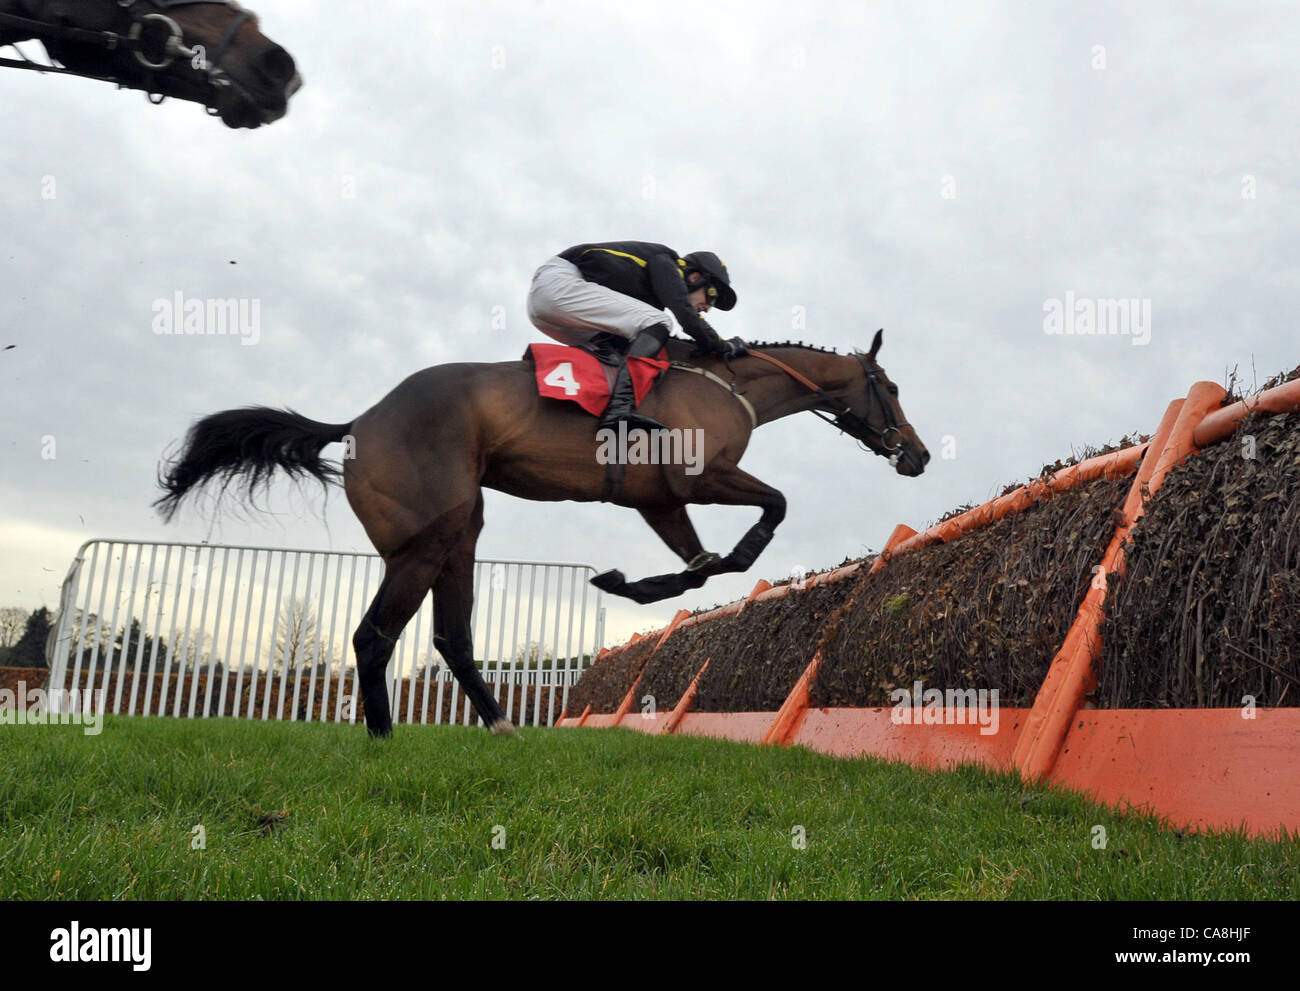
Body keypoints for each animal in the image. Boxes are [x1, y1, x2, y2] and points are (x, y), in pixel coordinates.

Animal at [154, 330, 925, 733]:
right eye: (891, 387)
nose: (918, 454)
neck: (726, 384)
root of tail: (358, 422)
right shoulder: (699, 477)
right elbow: (772, 512)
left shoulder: (658, 500)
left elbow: (704, 565)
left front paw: (630, 583)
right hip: (422, 542)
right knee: (374, 636)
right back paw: (383, 735)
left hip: (461, 533)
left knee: (451, 636)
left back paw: (499, 725)